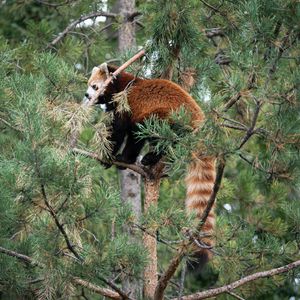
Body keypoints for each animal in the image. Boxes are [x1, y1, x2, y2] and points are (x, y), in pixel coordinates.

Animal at [84, 63, 216, 262]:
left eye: (94, 86)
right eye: (89, 85)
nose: (86, 95)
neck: (122, 84)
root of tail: (199, 120)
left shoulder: (126, 103)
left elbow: (121, 131)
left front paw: (114, 157)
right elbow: (130, 135)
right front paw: (122, 159)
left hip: (167, 116)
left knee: (157, 131)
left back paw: (152, 156)